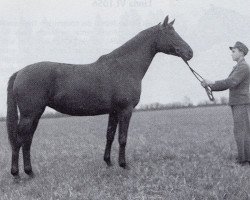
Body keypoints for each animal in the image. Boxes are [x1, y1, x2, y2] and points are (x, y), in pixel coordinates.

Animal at [6, 15, 193, 177]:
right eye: (171, 33)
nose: (190, 53)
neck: (124, 67)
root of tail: (20, 72)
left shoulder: (114, 111)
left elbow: (109, 135)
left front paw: (108, 162)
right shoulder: (125, 110)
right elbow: (122, 138)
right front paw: (124, 165)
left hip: (35, 115)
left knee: (27, 141)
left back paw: (30, 172)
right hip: (29, 115)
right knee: (19, 140)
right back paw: (17, 174)